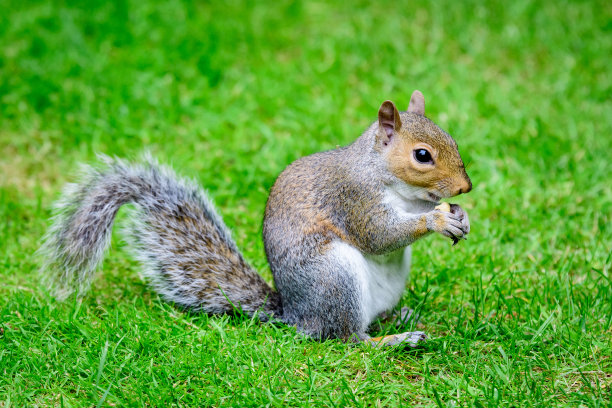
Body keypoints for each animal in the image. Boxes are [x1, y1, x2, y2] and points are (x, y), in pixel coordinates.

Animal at [39, 90, 474, 348]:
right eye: (422, 155)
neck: (387, 178)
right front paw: (437, 221)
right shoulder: (353, 198)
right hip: (333, 278)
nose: (465, 187)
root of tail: (295, 315)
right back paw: (395, 339)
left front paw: (460, 217)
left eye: (453, 140)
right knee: (346, 338)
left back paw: (399, 315)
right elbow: (379, 235)